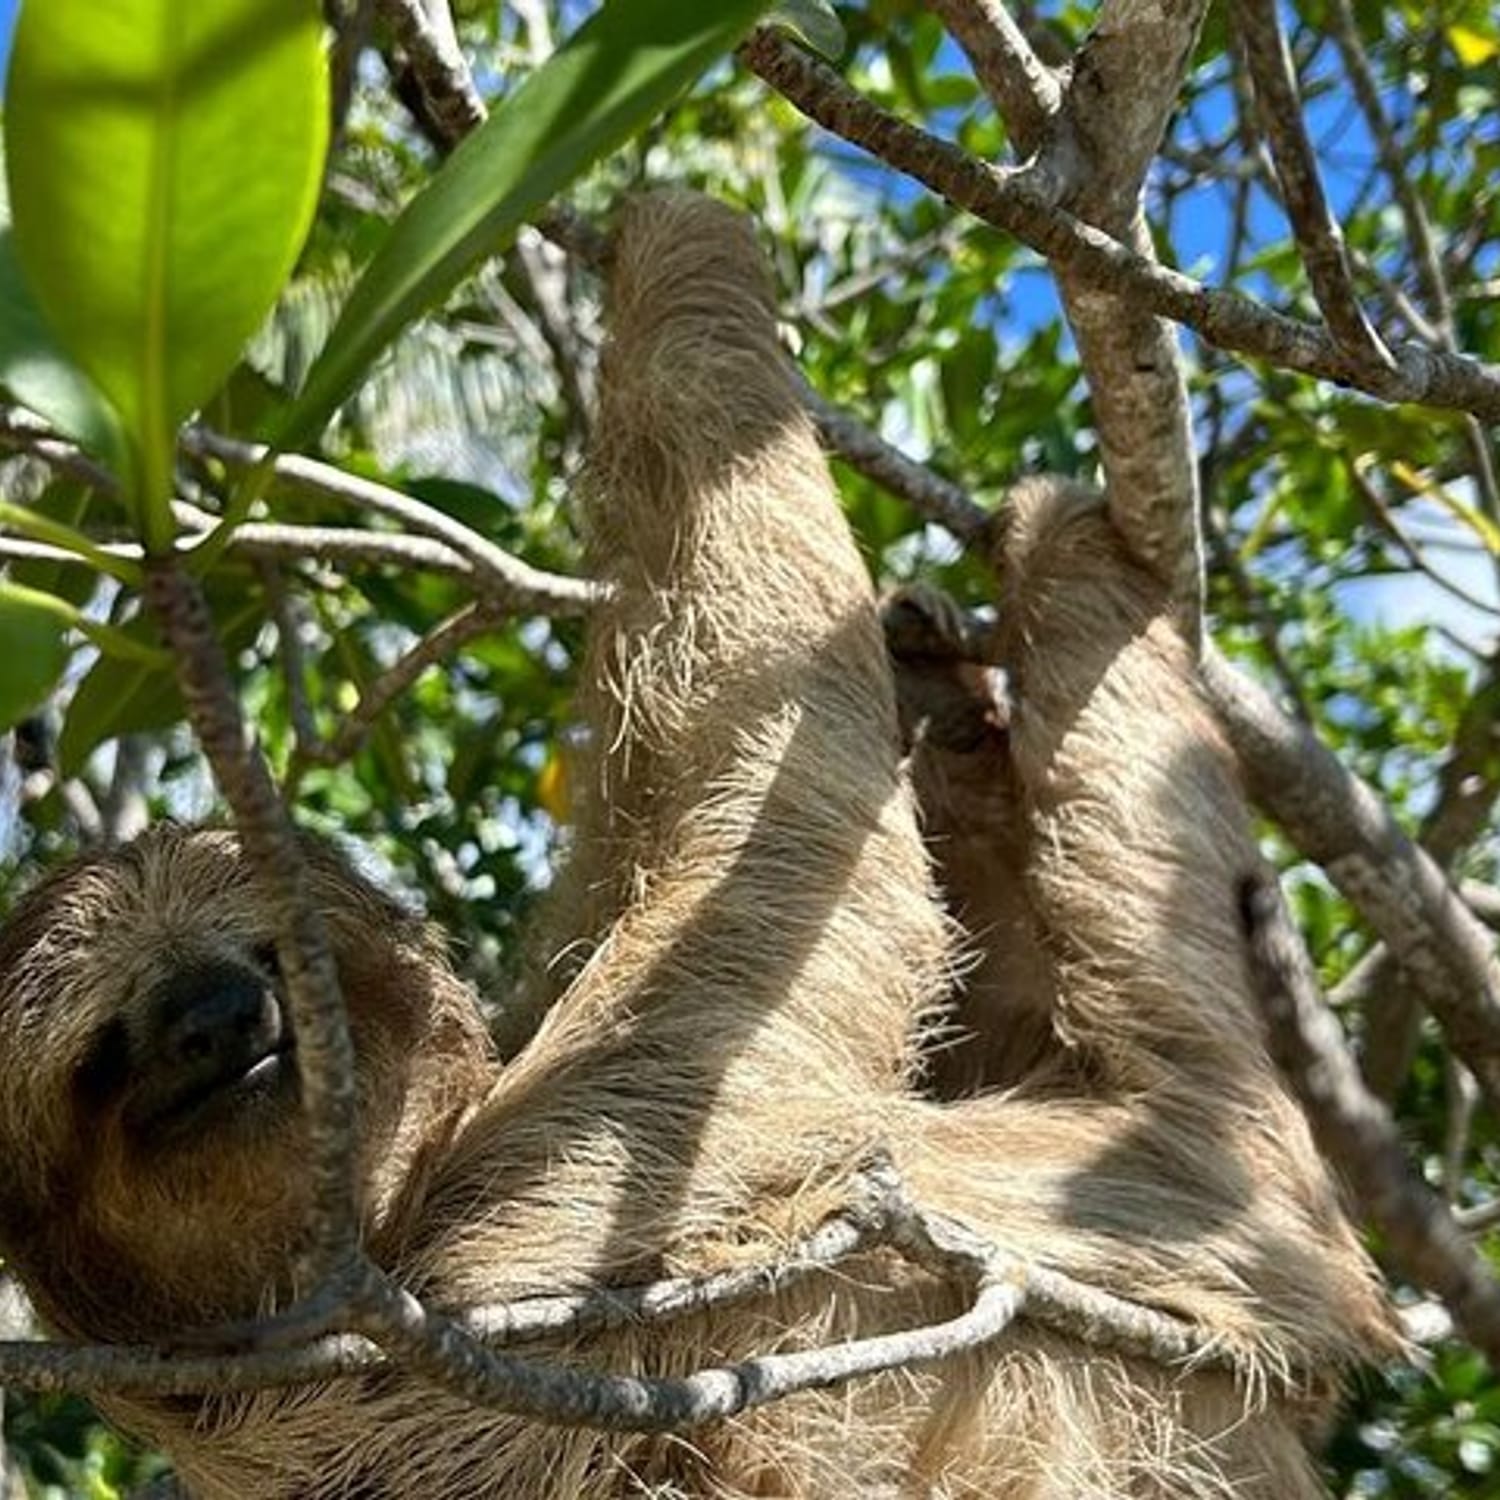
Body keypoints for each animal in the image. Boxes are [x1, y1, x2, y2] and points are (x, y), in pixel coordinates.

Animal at [0, 194, 1391, 1497]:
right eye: (104, 1052)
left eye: (272, 950)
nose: (214, 1022)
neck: (366, 1274)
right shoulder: (539, 1253)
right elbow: (782, 845)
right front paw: (675, 221)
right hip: (1237, 1196)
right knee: (1186, 1033)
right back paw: (1063, 548)